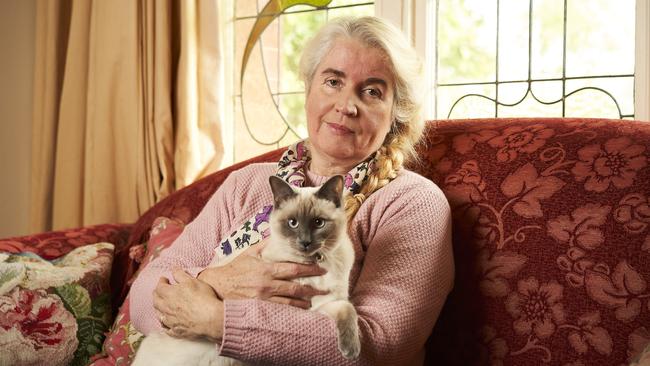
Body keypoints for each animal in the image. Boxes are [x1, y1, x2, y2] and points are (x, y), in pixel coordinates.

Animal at [132, 175, 360, 366]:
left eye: (319, 223)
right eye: (292, 223)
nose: (305, 242)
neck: (316, 262)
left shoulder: (322, 304)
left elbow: (348, 310)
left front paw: (351, 351)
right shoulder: (294, 305)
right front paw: (351, 352)